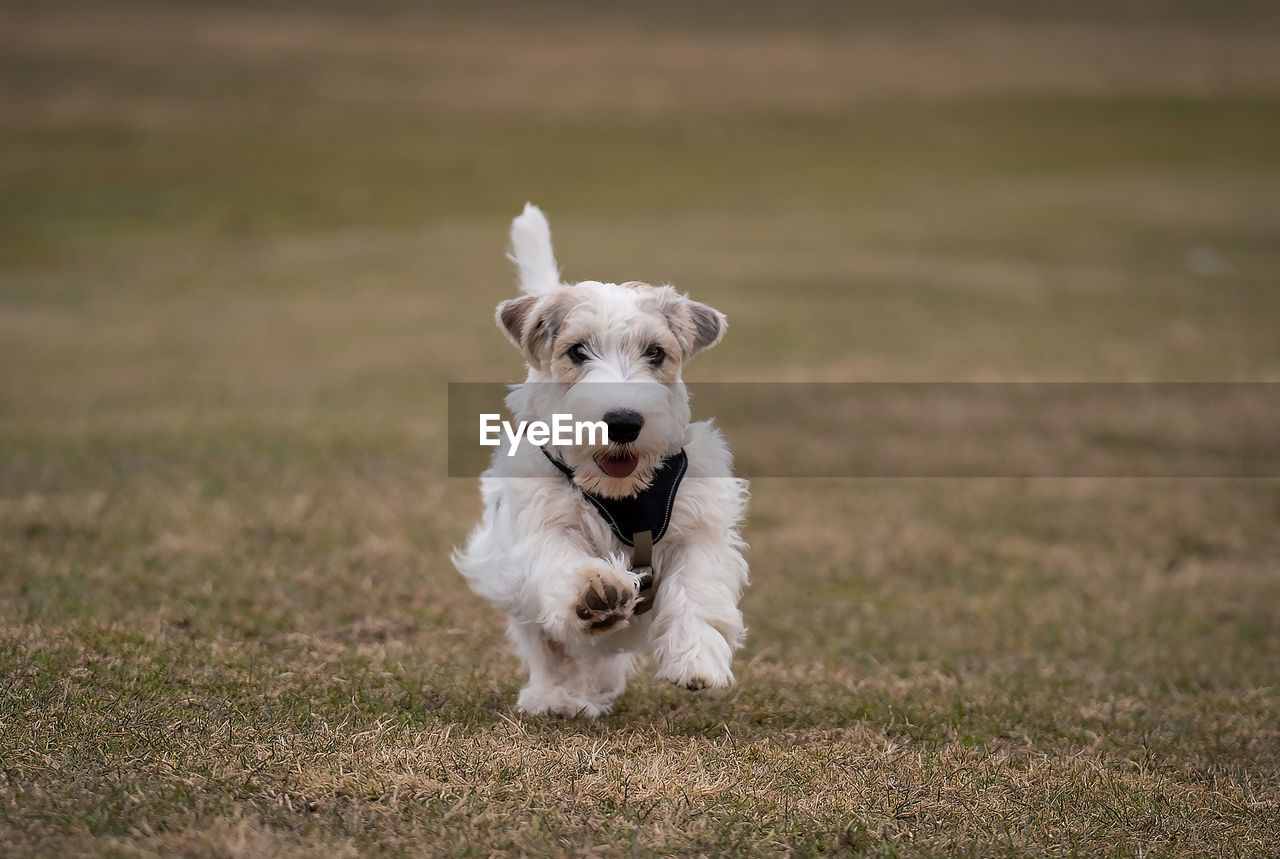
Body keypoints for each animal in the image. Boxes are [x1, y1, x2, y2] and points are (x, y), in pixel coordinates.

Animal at [453, 204, 747, 716]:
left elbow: (697, 588)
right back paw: (559, 696)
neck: (624, 493)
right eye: (577, 351)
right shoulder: (542, 526)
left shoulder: (699, 526)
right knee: (555, 650)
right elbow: (563, 561)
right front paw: (595, 592)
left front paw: (695, 662)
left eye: (656, 353)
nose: (624, 421)